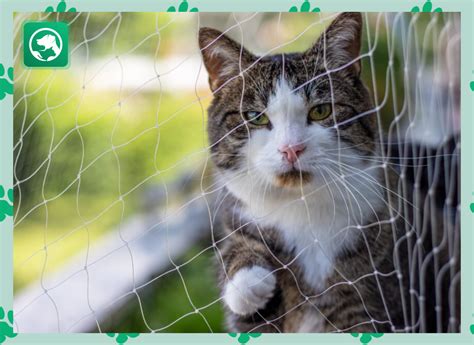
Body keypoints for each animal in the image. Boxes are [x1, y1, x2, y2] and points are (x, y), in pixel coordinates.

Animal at [198, 12, 458, 332]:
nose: (291, 149)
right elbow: (236, 248)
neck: (302, 207)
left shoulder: (375, 302)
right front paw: (247, 281)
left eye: (321, 111)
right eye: (255, 117)